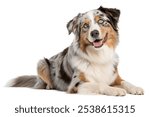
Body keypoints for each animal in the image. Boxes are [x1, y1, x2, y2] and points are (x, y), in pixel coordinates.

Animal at [7, 5, 144, 96]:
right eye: (85, 26)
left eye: (101, 21)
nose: (94, 33)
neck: (99, 56)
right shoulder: (77, 84)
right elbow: (100, 84)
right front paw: (115, 90)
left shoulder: (115, 77)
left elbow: (125, 82)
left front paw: (136, 88)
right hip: (41, 63)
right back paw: (50, 87)